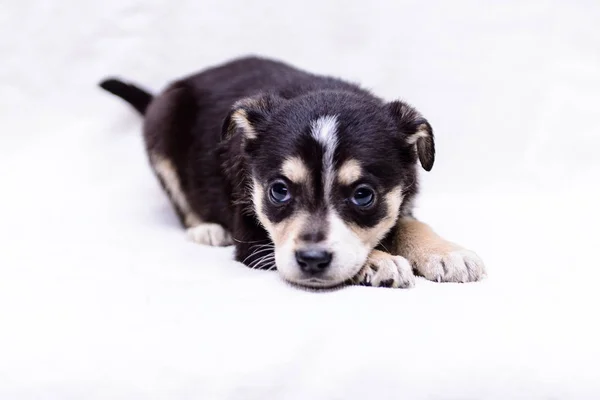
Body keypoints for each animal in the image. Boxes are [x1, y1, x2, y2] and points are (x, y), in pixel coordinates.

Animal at [97, 55, 482, 288]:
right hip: (162, 127)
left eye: (363, 195)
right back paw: (206, 229)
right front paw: (378, 262)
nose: (312, 260)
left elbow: (408, 223)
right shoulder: (252, 237)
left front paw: (447, 253)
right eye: (279, 190)